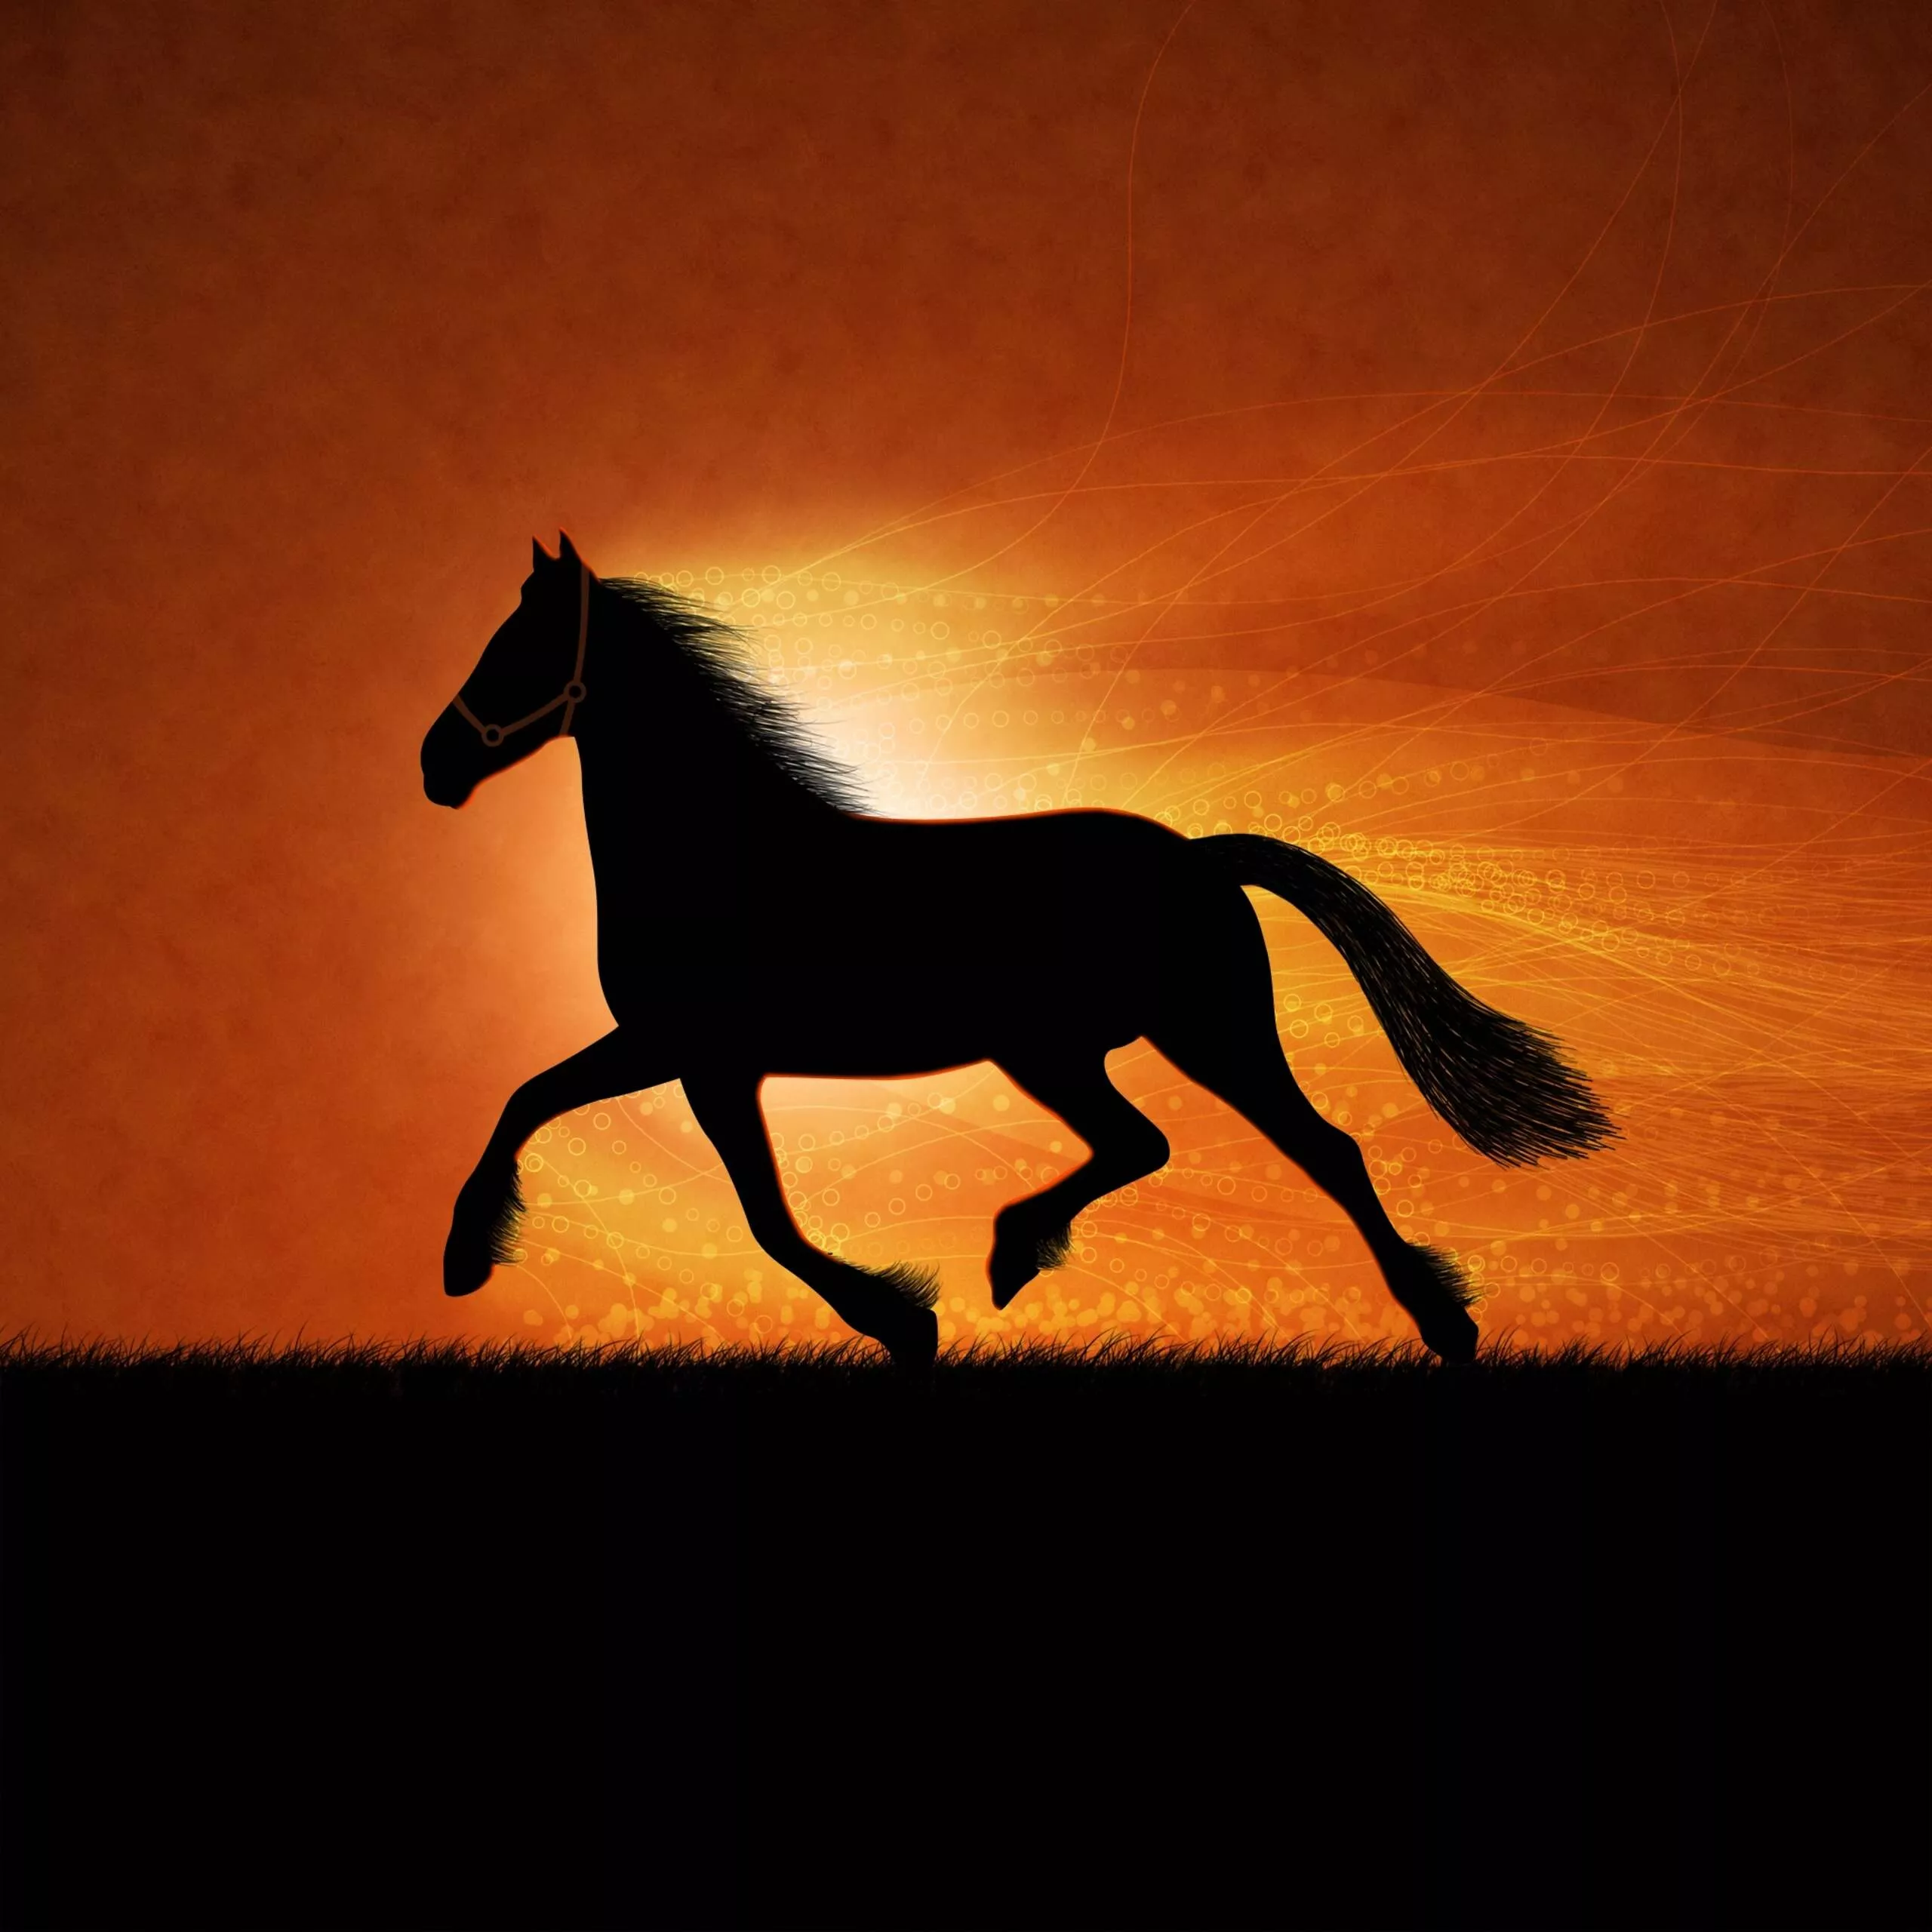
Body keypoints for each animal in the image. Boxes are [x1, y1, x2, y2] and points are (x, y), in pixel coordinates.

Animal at [421, 534, 1616, 1369]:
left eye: (519, 648)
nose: (435, 765)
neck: (719, 856)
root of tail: (1198, 857)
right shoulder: (683, 1053)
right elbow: (536, 1103)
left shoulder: (697, 1055)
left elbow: (750, 1211)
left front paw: (901, 1319)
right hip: (1065, 1052)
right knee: (1146, 1144)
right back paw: (1015, 1252)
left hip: (1195, 1036)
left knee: (1320, 1150)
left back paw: (1441, 1325)